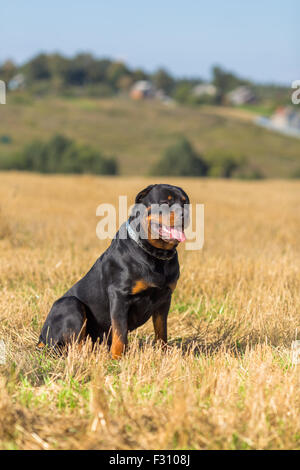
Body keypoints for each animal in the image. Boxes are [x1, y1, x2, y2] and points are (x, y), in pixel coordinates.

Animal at [37, 182, 189, 358]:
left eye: (185, 203)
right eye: (165, 202)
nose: (184, 214)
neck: (155, 254)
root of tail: (41, 336)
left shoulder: (164, 299)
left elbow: (161, 332)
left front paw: (162, 354)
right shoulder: (119, 295)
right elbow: (120, 332)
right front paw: (117, 357)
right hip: (70, 304)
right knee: (74, 344)